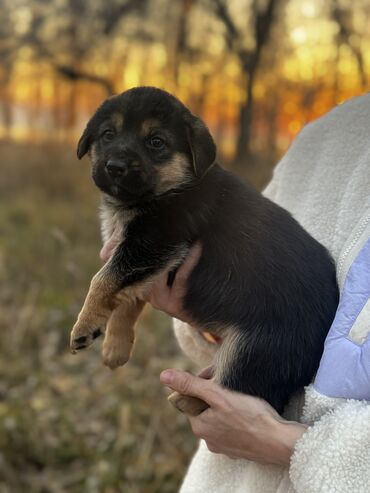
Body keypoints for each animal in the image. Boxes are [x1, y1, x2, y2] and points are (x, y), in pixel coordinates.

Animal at [69, 86, 338, 414]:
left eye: (156, 142)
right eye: (108, 134)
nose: (115, 168)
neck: (173, 187)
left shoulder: (153, 242)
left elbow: (103, 280)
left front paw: (85, 325)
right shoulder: (144, 260)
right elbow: (126, 301)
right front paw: (114, 347)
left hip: (256, 349)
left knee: (245, 391)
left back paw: (188, 397)